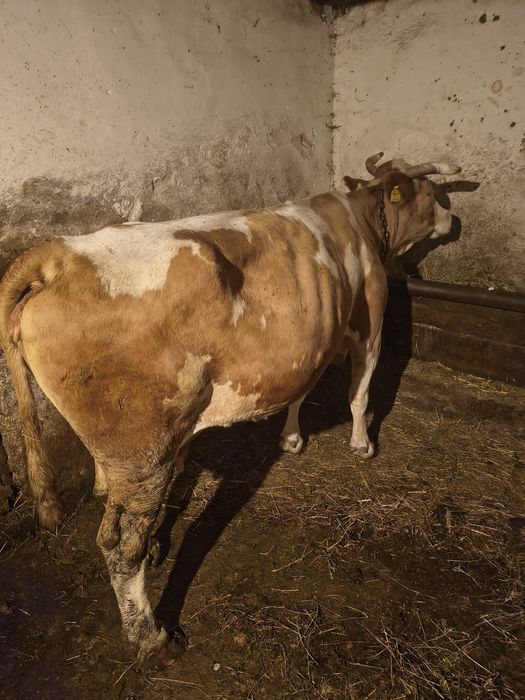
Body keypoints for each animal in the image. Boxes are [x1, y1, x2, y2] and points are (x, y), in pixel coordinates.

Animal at [0, 153, 460, 664]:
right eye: (429, 192)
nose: (454, 219)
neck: (356, 218)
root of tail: (60, 252)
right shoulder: (369, 319)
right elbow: (359, 393)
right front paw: (362, 444)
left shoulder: (307, 342)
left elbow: (300, 390)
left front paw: (291, 437)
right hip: (142, 448)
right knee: (120, 546)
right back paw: (149, 636)